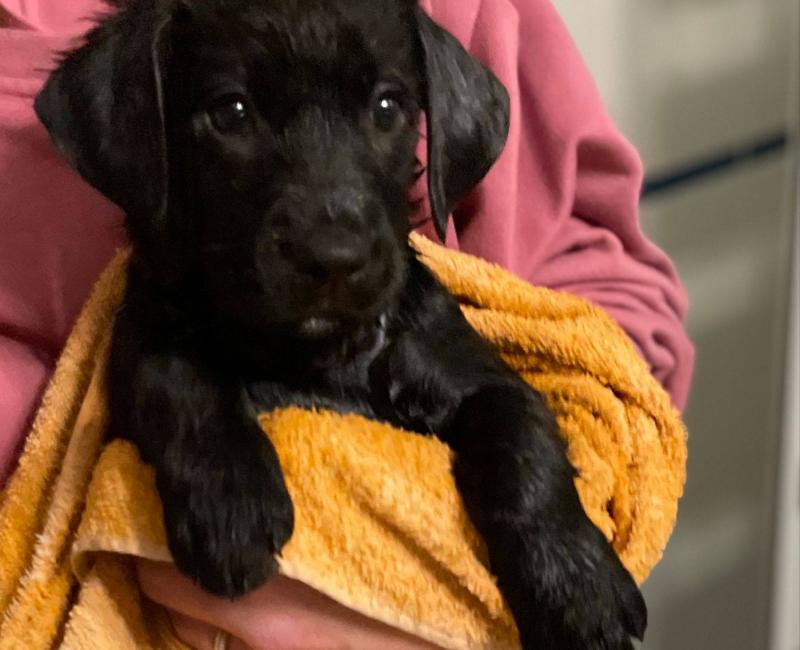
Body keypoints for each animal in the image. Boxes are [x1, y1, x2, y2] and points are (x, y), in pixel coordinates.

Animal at [35, 0, 646, 647]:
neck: (318, 354)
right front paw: (231, 500)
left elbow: (522, 434)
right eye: (231, 111)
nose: (333, 258)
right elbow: (180, 381)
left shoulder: (477, 372)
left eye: (388, 106)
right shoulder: (145, 335)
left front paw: (576, 581)